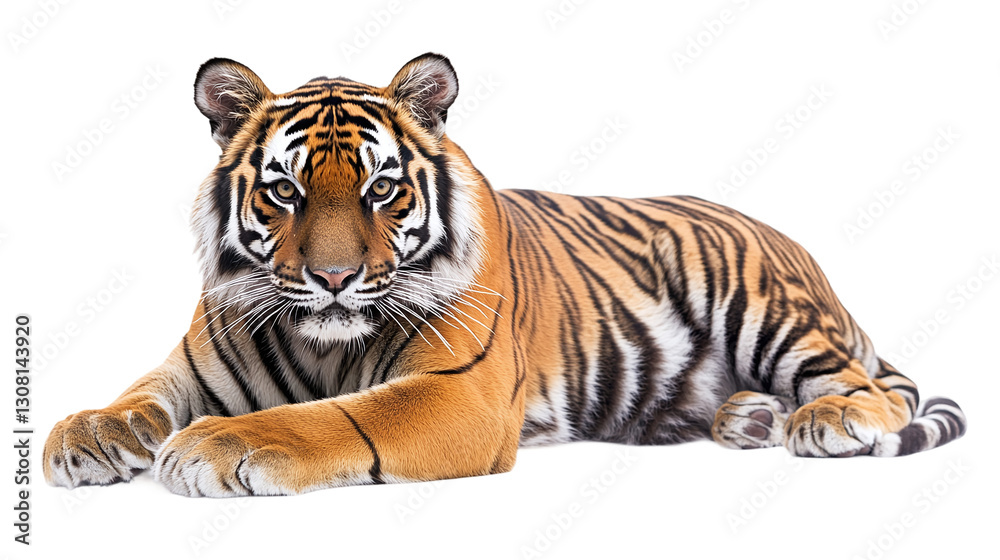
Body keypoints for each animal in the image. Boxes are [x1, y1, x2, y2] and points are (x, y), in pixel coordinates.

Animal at [43, 53, 967, 497]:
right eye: (285, 192)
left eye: (381, 189)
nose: (336, 278)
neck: (324, 341)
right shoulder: (193, 363)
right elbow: (138, 394)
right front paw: (83, 436)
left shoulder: (461, 391)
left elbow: (334, 418)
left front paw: (219, 446)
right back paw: (748, 418)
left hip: (760, 302)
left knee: (871, 389)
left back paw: (825, 420)